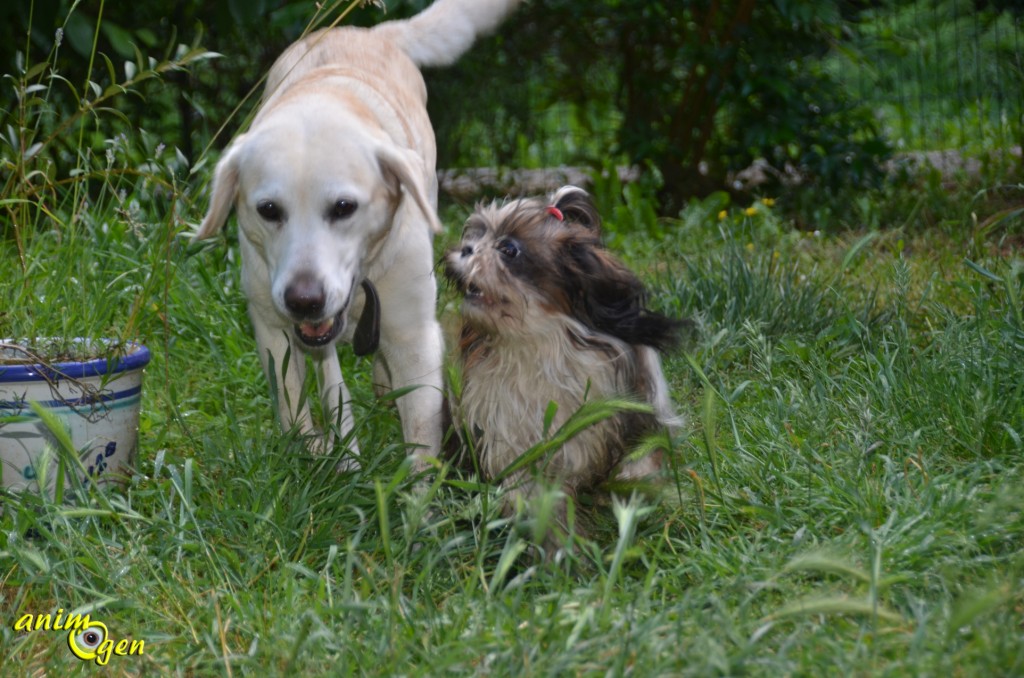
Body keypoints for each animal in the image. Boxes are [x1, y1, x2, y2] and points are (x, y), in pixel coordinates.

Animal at [193, 0, 520, 467]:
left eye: (344, 208)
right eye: (269, 210)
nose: (304, 300)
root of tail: (370, 32)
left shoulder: (416, 335)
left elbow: (420, 441)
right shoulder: (271, 324)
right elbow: (295, 402)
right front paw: (314, 454)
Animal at [446, 184, 679, 540]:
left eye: (508, 249)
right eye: (474, 236)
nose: (466, 249)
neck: (538, 341)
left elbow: (638, 459)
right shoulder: (508, 430)